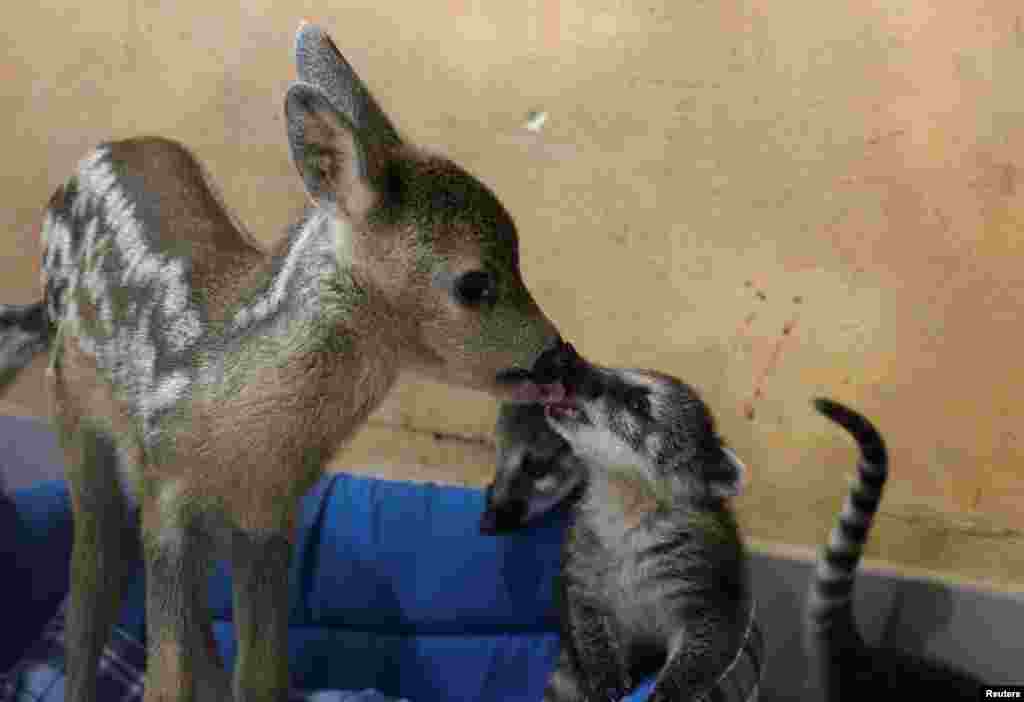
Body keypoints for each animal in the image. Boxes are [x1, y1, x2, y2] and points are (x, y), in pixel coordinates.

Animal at [0, 21, 575, 702]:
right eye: (474, 283)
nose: (560, 356)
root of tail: (101, 152)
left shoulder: (268, 519)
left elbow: (262, 675)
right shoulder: (167, 499)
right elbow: (166, 676)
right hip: (74, 414)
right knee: (90, 583)